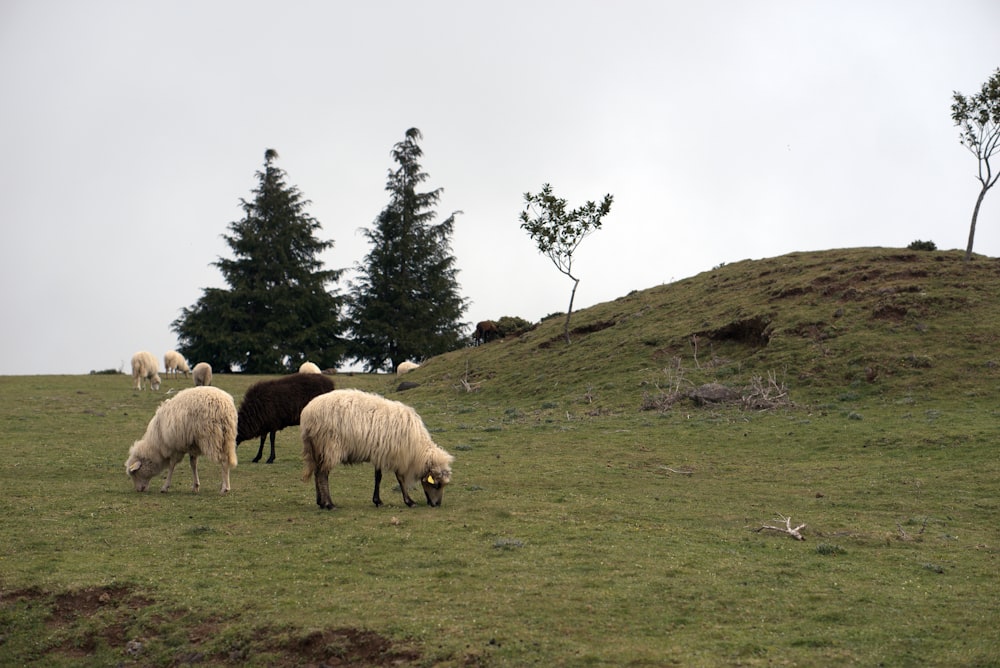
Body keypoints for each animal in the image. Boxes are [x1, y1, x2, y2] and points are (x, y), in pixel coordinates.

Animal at [296, 388, 454, 508]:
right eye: (437, 485)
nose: (437, 504)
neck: (417, 449)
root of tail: (307, 414)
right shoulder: (397, 455)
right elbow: (400, 478)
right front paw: (409, 501)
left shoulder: (380, 452)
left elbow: (378, 477)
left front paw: (377, 501)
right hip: (329, 446)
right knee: (323, 474)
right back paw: (329, 504)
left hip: (316, 448)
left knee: (317, 473)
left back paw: (320, 502)